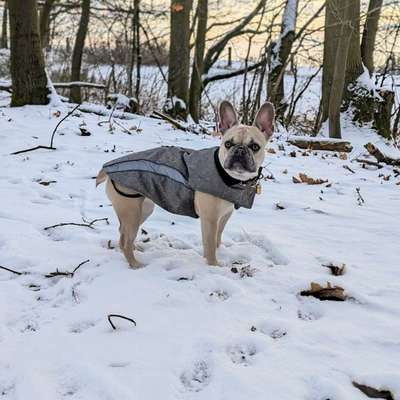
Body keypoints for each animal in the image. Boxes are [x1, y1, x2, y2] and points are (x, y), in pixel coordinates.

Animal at [96, 101, 276, 268]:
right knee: (125, 240)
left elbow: (218, 238)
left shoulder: (224, 216)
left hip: (143, 209)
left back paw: (135, 249)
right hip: (131, 212)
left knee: (123, 233)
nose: (239, 151)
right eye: (228, 144)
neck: (231, 178)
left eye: (255, 147)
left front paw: (219, 253)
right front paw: (213, 266)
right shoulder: (210, 220)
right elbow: (210, 245)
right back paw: (135, 264)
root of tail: (107, 168)